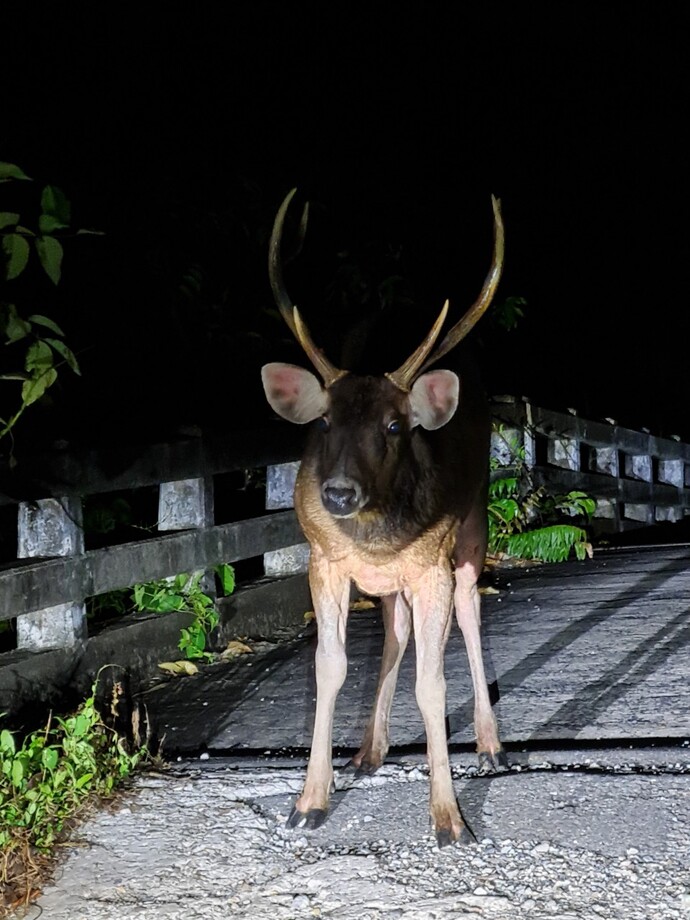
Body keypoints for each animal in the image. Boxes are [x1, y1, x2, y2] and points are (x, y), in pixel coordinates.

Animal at [260, 190, 502, 844]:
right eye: (324, 422)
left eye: (395, 427)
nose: (339, 493)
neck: (375, 540)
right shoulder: (324, 560)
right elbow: (331, 667)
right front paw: (308, 802)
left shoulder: (432, 561)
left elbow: (432, 682)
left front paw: (450, 819)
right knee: (395, 629)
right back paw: (369, 749)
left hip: (475, 518)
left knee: (469, 609)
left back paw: (490, 742)